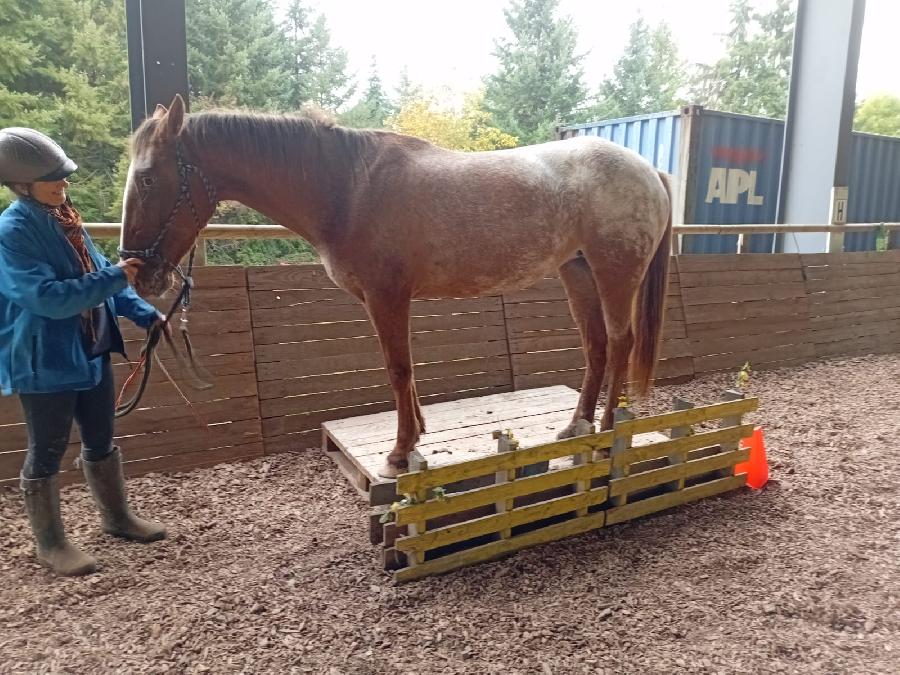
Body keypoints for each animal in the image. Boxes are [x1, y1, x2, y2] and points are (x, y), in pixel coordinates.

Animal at [120, 95, 672, 478]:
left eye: (147, 178)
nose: (137, 271)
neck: (348, 188)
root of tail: (649, 169)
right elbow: (404, 372)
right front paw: (417, 435)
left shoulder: (387, 297)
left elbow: (397, 368)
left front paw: (401, 452)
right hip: (576, 271)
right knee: (596, 345)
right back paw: (578, 425)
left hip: (613, 271)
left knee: (620, 343)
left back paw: (609, 428)